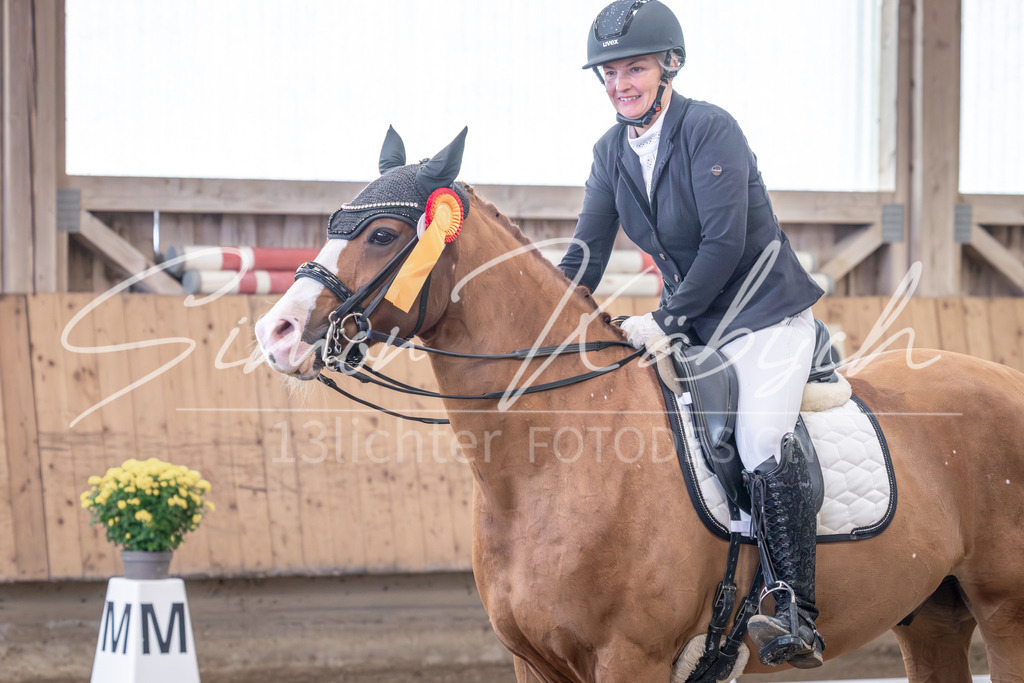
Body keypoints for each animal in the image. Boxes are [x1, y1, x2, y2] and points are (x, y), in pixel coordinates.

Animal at [254, 129, 1024, 682]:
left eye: (384, 235)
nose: (277, 333)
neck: (555, 453)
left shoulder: (633, 658)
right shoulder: (535, 665)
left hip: (1006, 612)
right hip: (931, 616)